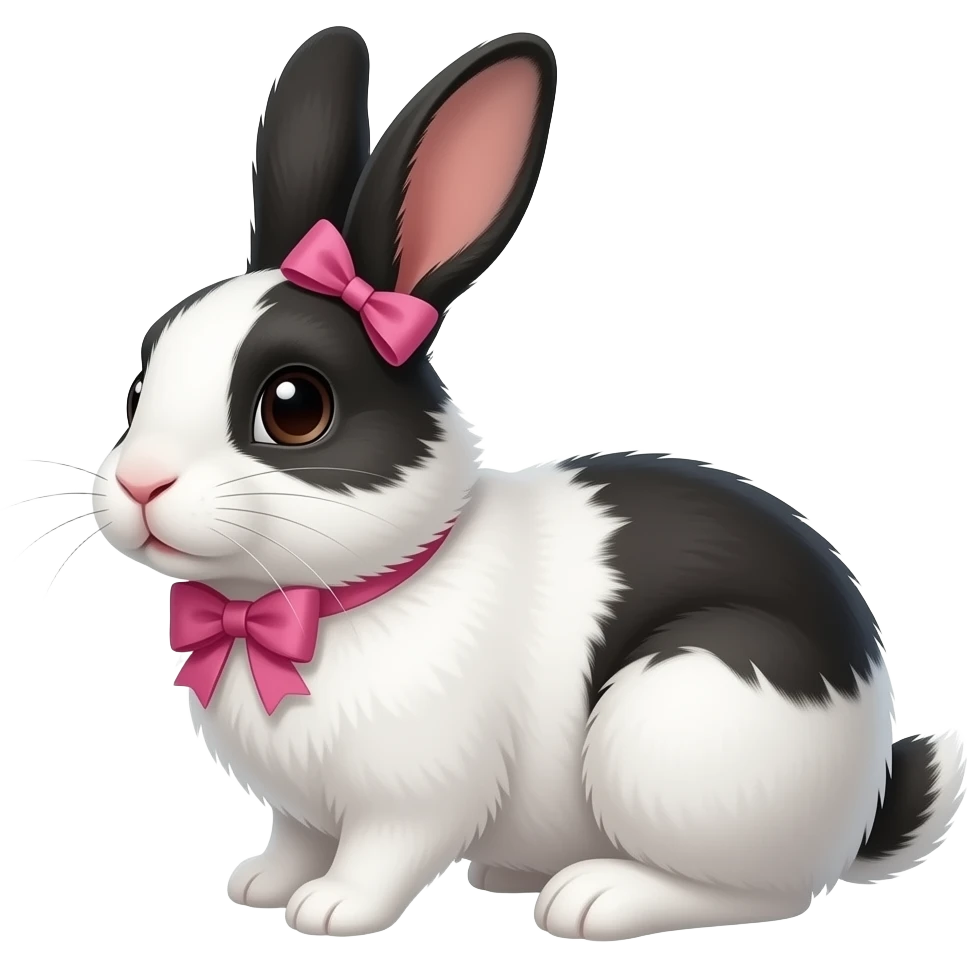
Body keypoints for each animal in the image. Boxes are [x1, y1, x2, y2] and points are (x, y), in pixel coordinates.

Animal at [85, 26, 965, 941]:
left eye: (295, 407)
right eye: (139, 383)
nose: (141, 484)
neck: (316, 605)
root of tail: (863, 797)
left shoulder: (415, 798)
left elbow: (381, 855)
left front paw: (330, 909)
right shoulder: (298, 809)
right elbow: (295, 838)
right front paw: (260, 884)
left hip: (681, 719)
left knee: (760, 891)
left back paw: (592, 897)